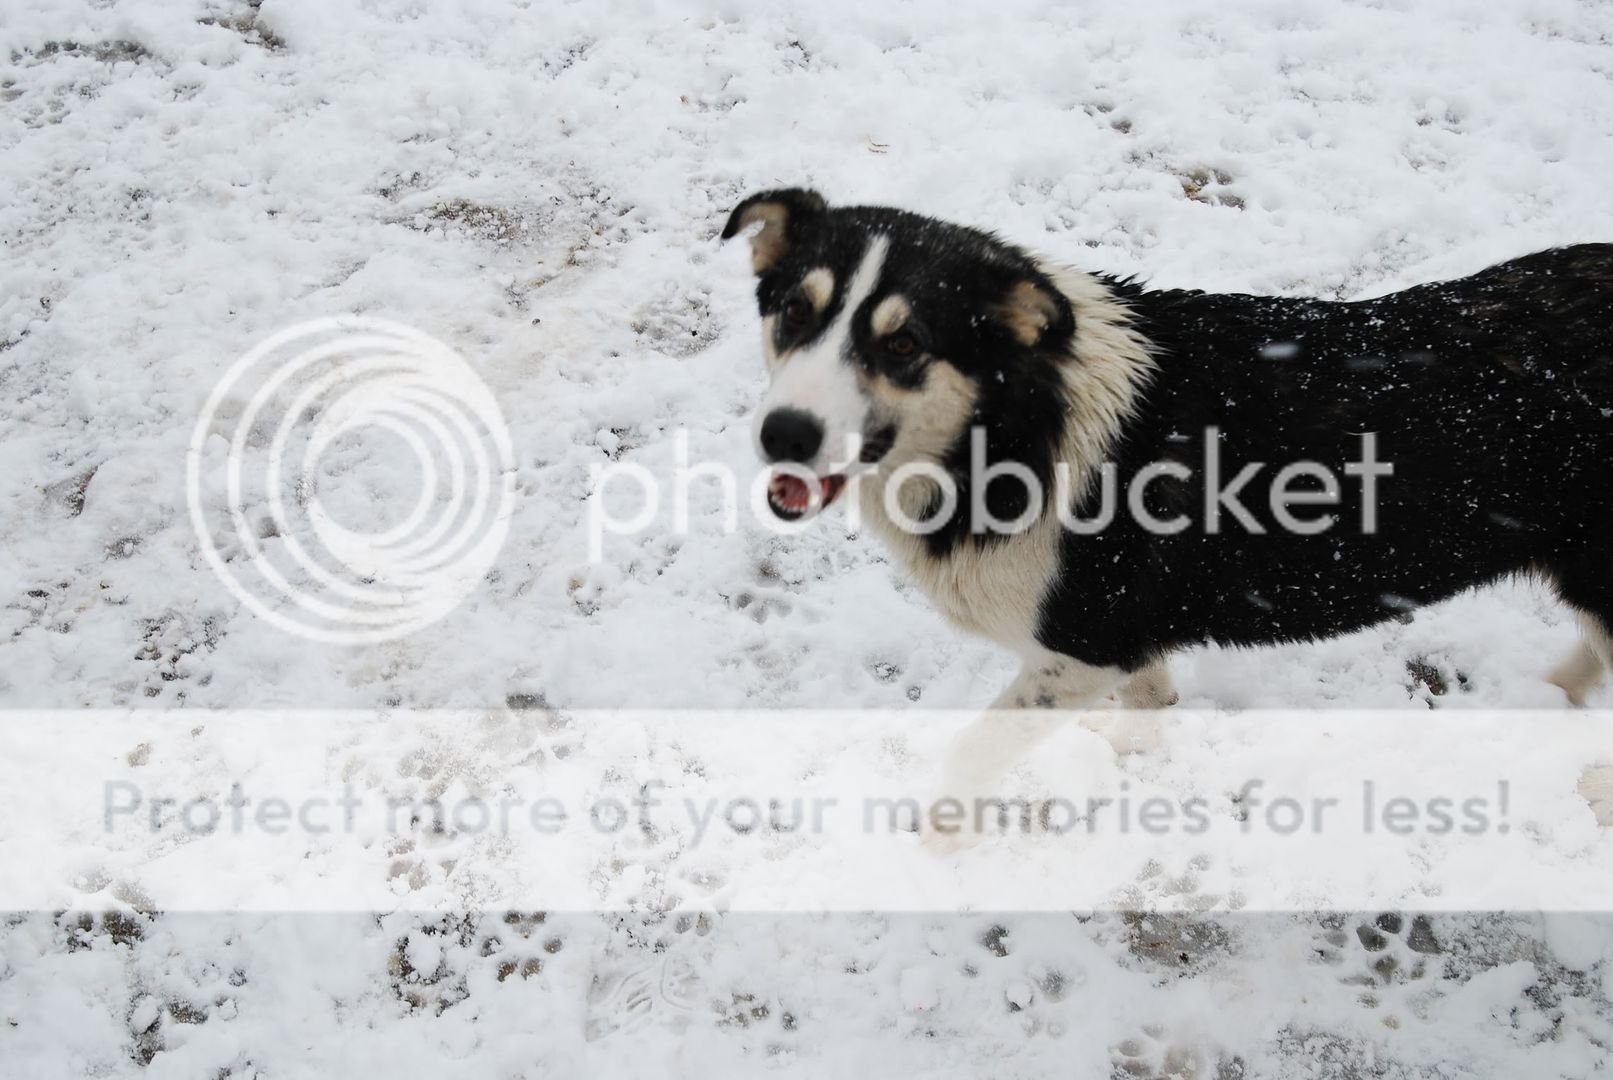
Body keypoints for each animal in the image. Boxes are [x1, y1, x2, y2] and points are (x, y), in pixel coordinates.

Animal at [725, 186, 1613, 831]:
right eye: (793, 312)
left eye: (904, 345)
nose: (783, 433)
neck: (1013, 423)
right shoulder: (1118, 641)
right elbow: (1150, 702)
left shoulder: (1082, 645)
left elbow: (973, 752)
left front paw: (934, 846)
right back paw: (1548, 696)